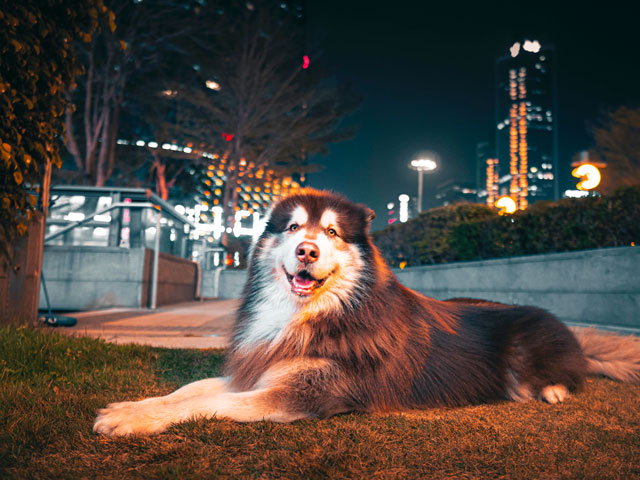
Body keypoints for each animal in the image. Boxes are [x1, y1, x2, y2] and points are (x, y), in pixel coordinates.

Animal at [92, 189, 636, 436]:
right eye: (294, 228)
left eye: (332, 233)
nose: (307, 250)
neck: (310, 315)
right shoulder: (260, 368)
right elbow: (191, 389)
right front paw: (132, 407)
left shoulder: (304, 395)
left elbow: (209, 403)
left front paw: (134, 421)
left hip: (531, 349)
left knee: (569, 375)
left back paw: (554, 390)